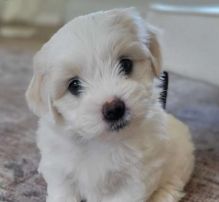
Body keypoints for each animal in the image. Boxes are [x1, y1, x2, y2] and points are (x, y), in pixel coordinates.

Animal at [26, 7, 195, 202]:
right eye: (74, 85)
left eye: (126, 64)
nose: (114, 109)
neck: (100, 140)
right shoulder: (59, 169)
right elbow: (63, 192)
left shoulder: (136, 177)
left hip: (180, 159)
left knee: (173, 181)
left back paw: (163, 194)